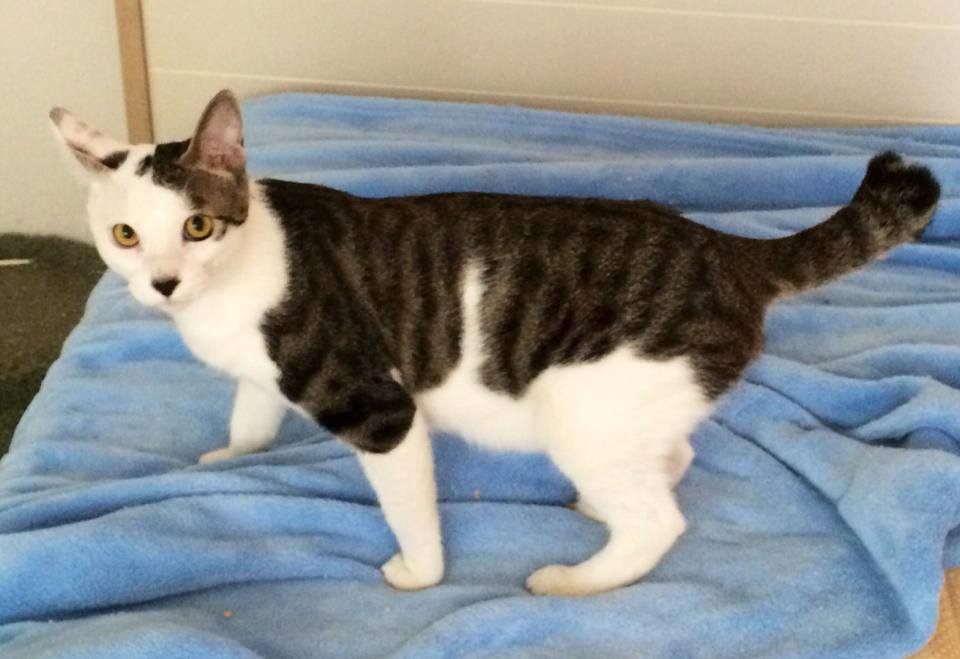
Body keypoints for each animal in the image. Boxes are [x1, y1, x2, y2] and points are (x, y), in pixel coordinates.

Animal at [50, 90, 940, 597]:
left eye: (197, 225)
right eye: (126, 236)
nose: (163, 282)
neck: (232, 287)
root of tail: (726, 248)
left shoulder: (380, 409)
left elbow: (410, 508)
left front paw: (420, 573)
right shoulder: (259, 373)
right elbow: (250, 415)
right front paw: (232, 457)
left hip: (582, 406)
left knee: (659, 522)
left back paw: (576, 580)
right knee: (673, 458)